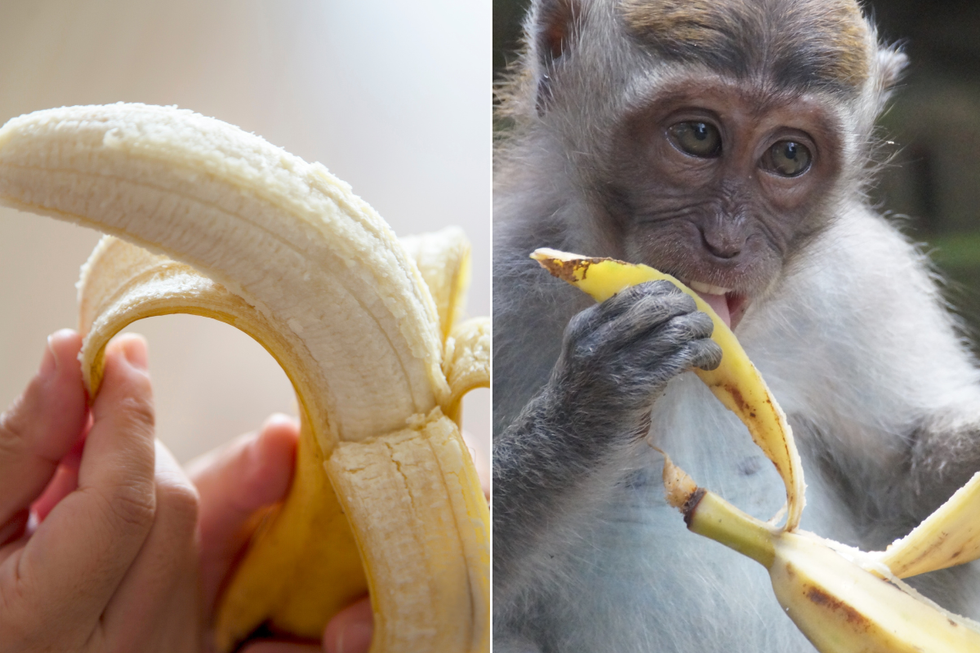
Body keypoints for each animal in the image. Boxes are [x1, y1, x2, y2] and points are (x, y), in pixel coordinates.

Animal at [492, 0, 980, 651]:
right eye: (697, 136)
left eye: (789, 156)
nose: (724, 243)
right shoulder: (502, 281)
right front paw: (596, 393)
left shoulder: (871, 284)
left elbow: (911, 493)